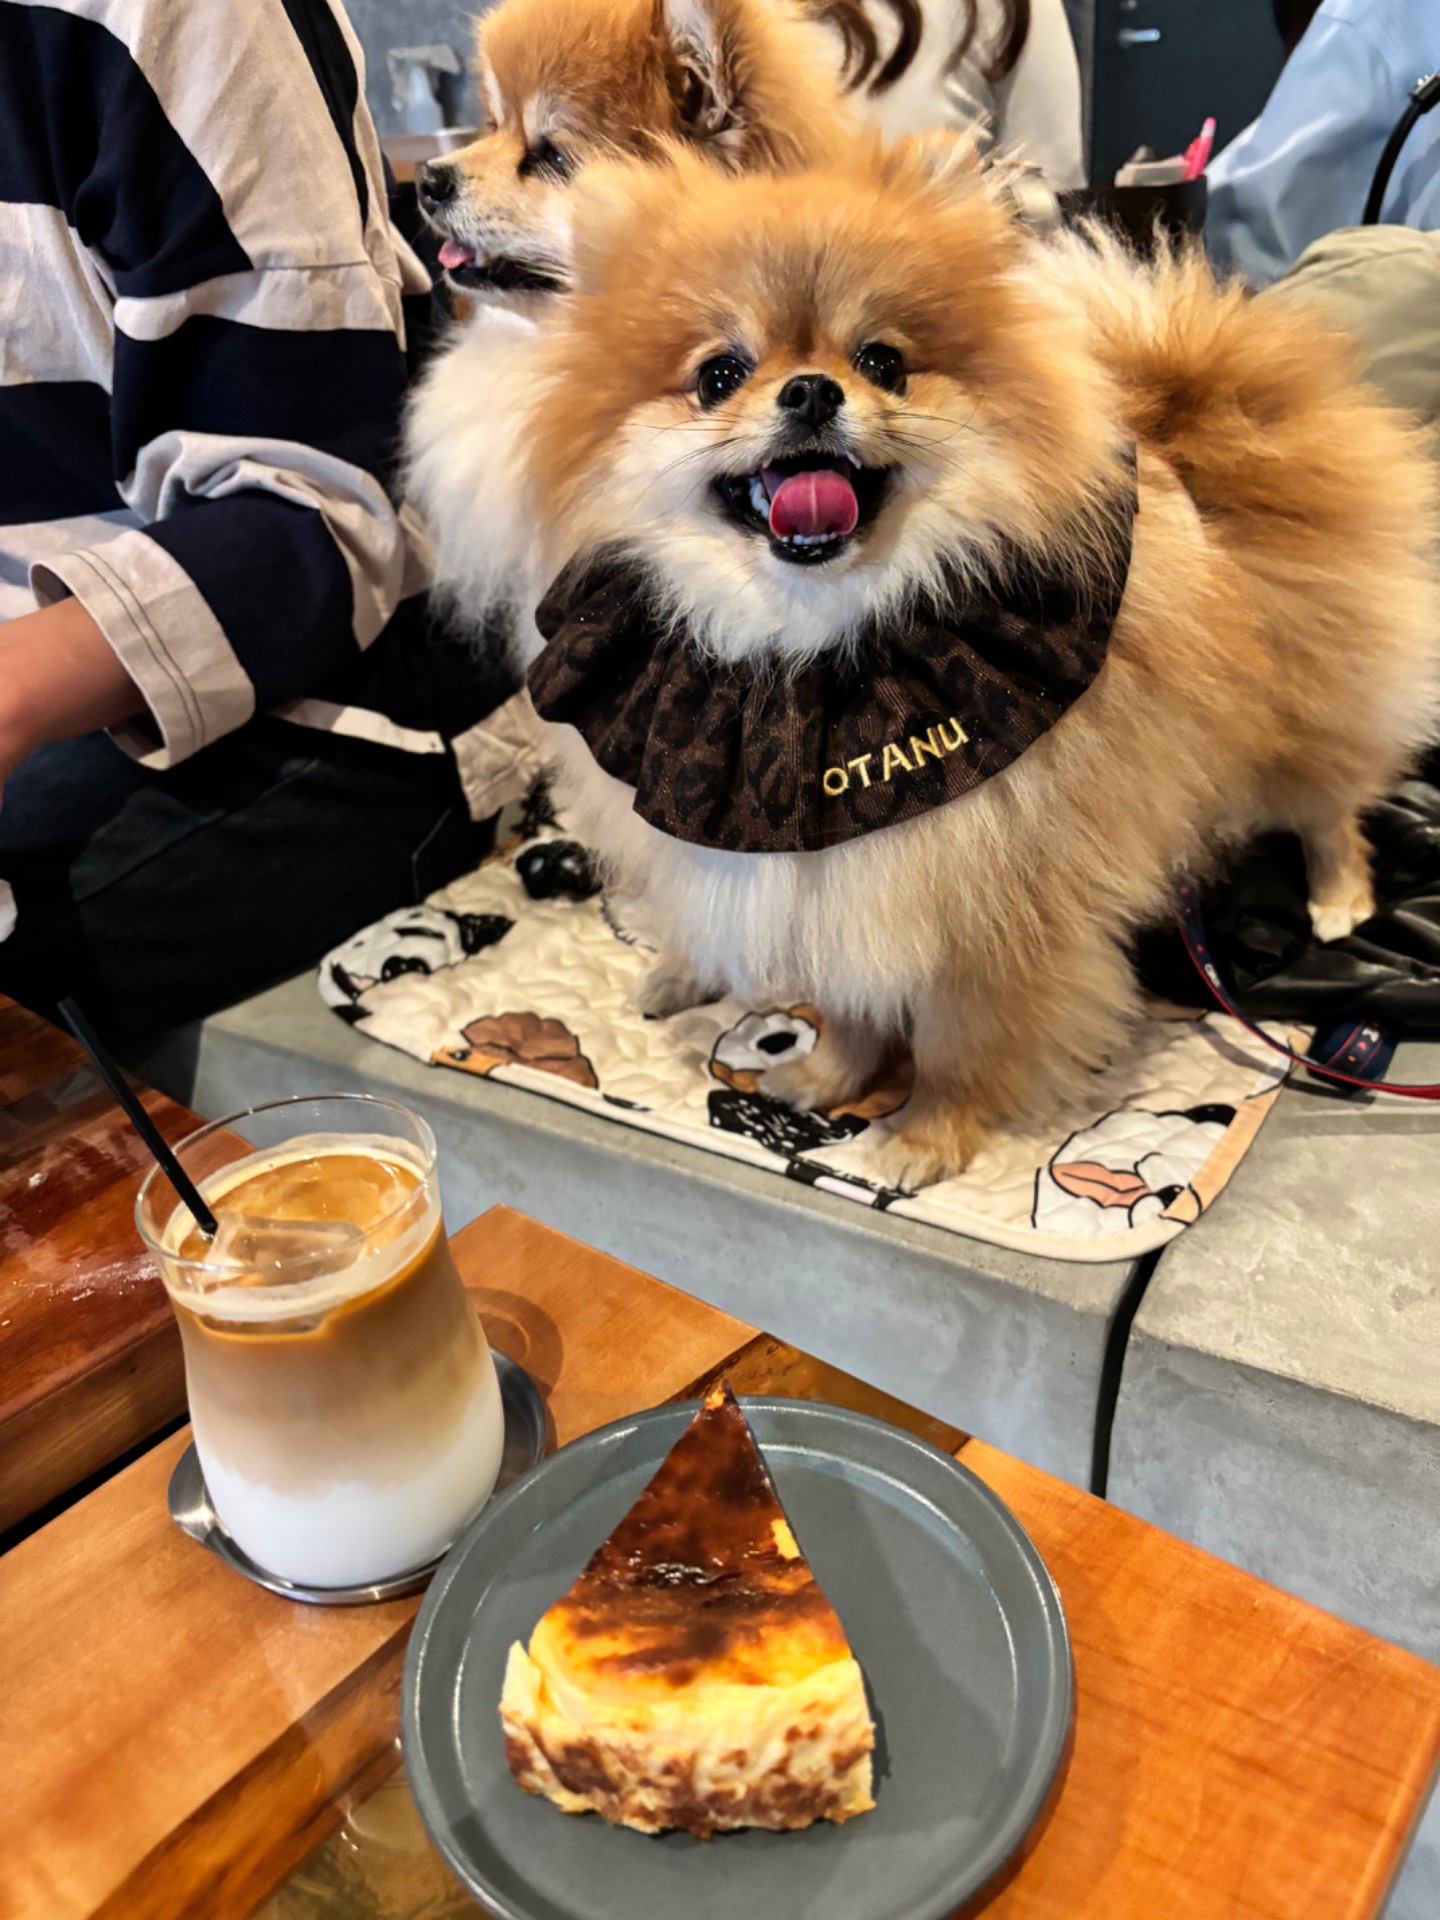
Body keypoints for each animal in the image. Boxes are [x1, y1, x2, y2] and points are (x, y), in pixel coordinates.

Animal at [408, 136, 1440, 1187]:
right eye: (719, 374)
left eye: (883, 362)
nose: (810, 389)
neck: (817, 647)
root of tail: (1191, 406)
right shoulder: (842, 873)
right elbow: (855, 1004)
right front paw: (832, 1080)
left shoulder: (993, 907)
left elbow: (958, 1040)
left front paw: (924, 1136)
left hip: (1295, 722)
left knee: (1330, 802)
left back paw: (1340, 899)